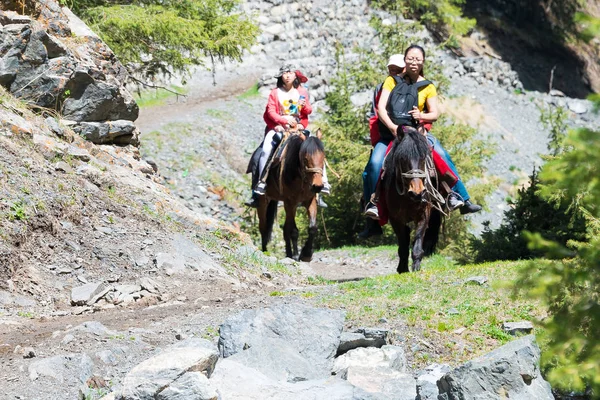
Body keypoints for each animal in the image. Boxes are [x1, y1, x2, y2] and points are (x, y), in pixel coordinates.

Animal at [256, 126, 324, 260]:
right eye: (305, 158)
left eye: (323, 157)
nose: (318, 186)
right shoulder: (290, 202)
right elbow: (294, 230)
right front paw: (297, 255)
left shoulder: (309, 200)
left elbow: (312, 227)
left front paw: (306, 253)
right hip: (264, 201)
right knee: (264, 227)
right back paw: (265, 250)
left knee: (284, 230)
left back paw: (288, 253)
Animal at [384, 126, 440, 274]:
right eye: (402, 158)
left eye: (423, 157)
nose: (417, 192)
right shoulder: (395, 219)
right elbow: (403, 243)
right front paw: (402, 268)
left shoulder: (424, 214)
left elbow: (418, 239)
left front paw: (416, 265)